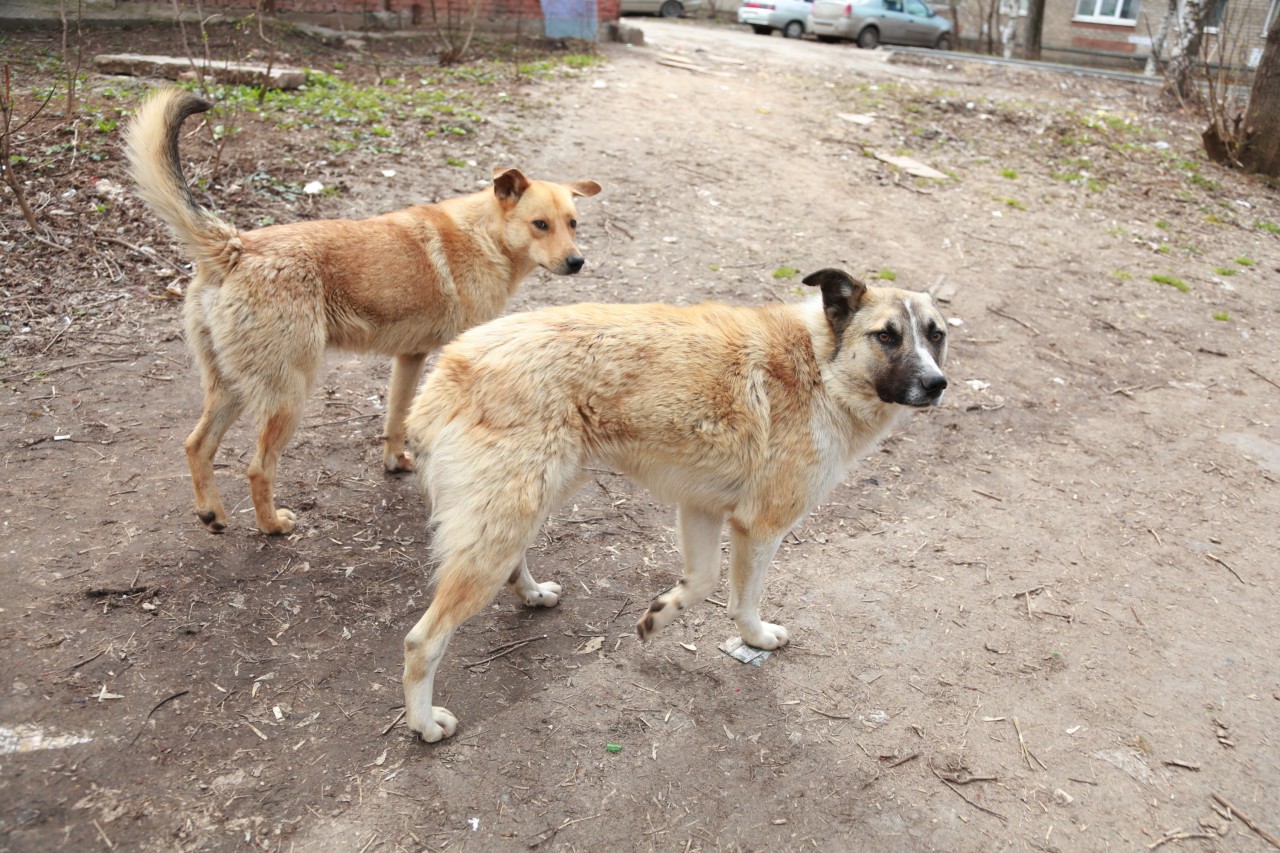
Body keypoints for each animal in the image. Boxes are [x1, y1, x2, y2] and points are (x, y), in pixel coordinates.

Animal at [401, 268, 952, 742]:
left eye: (936, 335)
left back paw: (534, 594)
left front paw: (659, 615)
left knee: (513, 565)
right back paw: (424, 723)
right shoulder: (761, 525)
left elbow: (702, 581)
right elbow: (743, 600)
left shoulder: (700, 508)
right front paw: (756, 638)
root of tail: (449, 368)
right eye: (887, 336)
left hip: (529, 504)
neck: (821, 365)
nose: (937, 384)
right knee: (421, 641)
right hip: (504, 524)